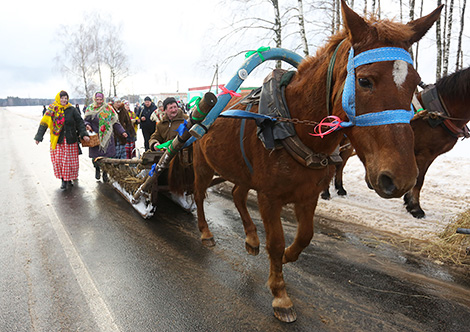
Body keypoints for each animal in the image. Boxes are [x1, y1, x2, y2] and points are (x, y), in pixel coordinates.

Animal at [190, 0, 440, 322]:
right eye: (364, 81)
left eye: (416, 83)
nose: (401, 178)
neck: (290, 123)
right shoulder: (269, 197)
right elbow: (276, 242)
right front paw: (280, 294)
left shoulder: (308, 195)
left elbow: (305, 237)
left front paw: (287, 258)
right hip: (202, 165)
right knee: (199, 195)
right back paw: (206, 232)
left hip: (243, 172)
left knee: (237, 194)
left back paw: (251, 238)